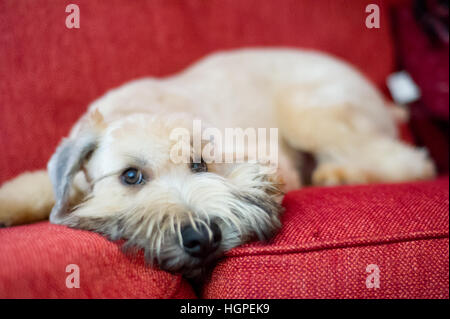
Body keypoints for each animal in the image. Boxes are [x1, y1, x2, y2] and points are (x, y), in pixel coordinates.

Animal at [0, 48, 436, 278]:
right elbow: (38, 185)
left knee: (408, 161)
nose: (202, 238)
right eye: (131, 176)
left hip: (312, 113)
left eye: (200, 164)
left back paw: (335, 175)